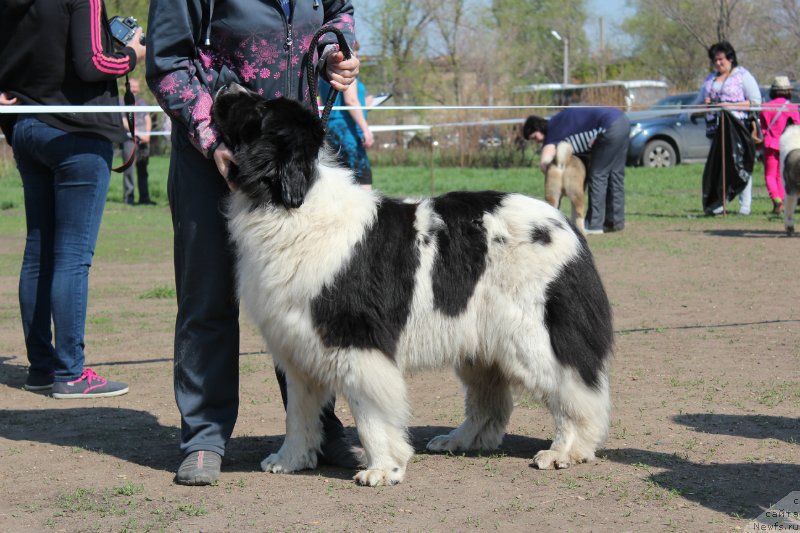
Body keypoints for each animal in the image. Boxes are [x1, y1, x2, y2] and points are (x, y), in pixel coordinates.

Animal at [212, 85, 612, 488]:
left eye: (260, 107)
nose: (225, 87)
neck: (290, 205)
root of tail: (565, 225)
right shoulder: (298, 346)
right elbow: (298, 412)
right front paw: (290, 459)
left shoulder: (358, 346)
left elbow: (371, 413)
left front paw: (381, 468)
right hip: (480, 342)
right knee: (490, 400)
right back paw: (459, 440)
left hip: (528, 336)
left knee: (573, 390)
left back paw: (566, 450)